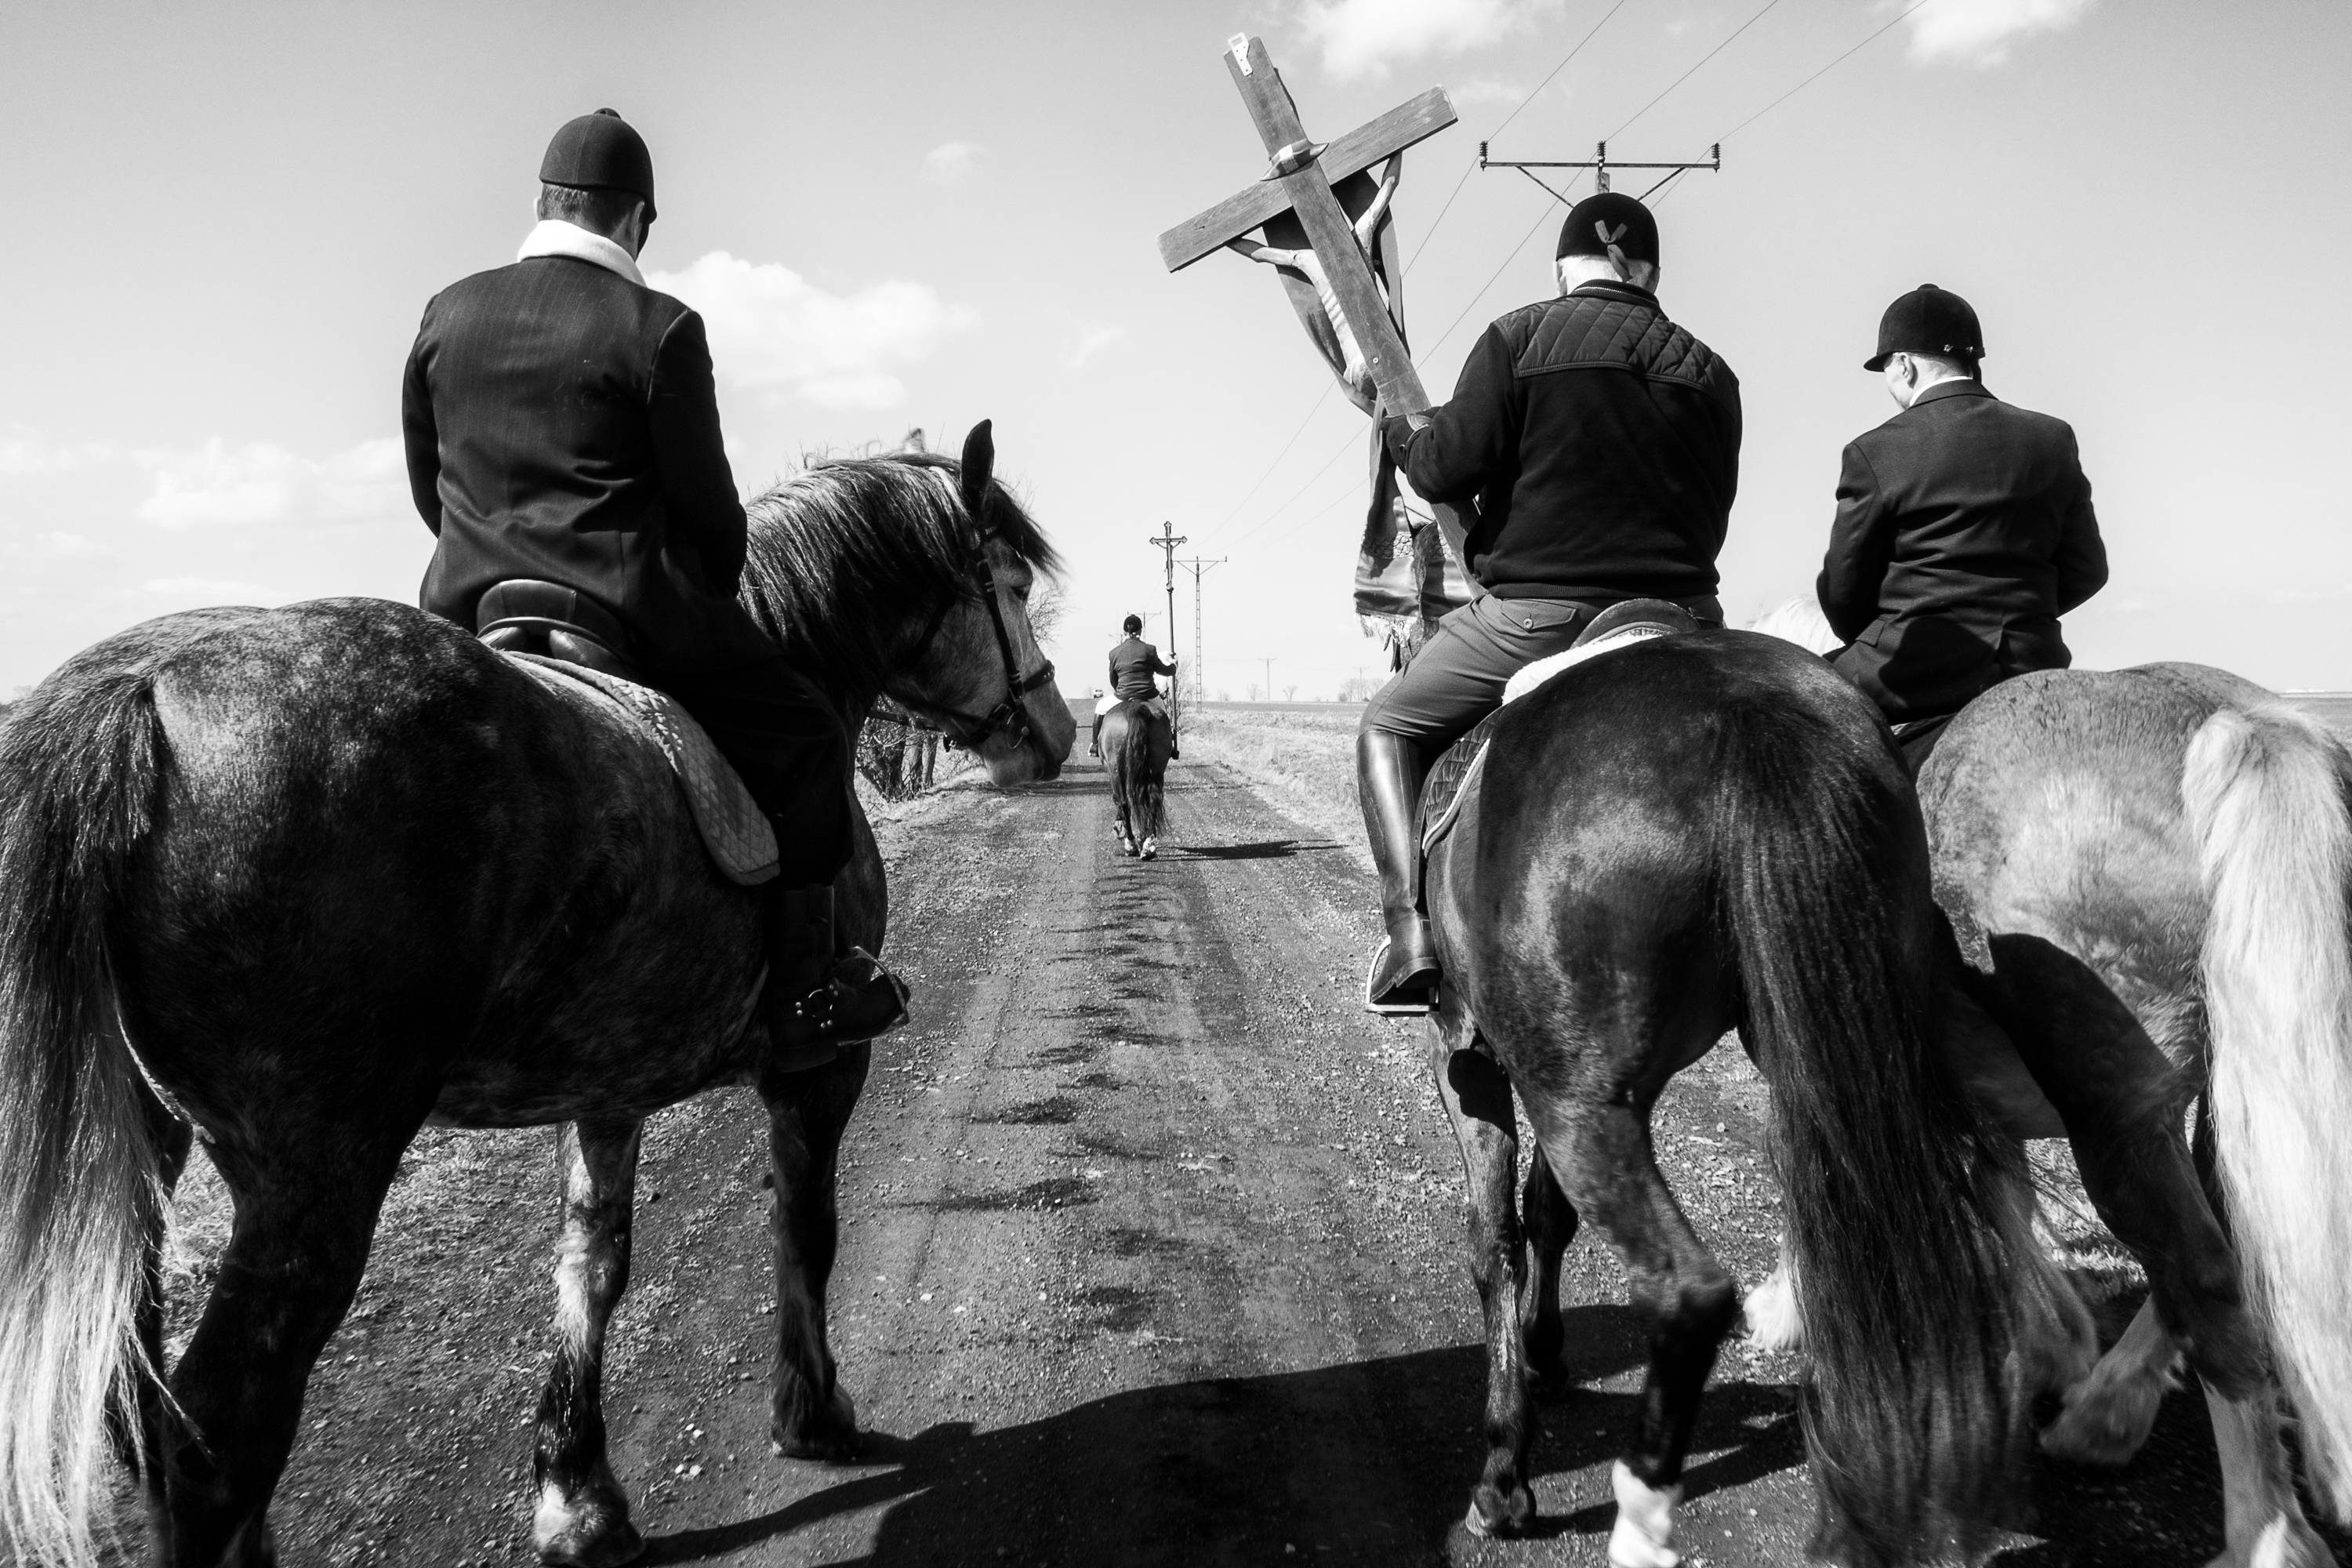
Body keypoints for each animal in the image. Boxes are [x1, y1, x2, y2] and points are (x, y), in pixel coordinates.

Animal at [0, 422, 1074, 1568]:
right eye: (1010, 583)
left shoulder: (609, 1083)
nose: (1054, 729)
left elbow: (591, 1264)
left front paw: (577, 1497)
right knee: (218, 1443)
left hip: (149, 1156)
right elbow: (805, 1222)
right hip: (312, 1174)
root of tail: (141, 686)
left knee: (137, 1404)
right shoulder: (821, 1066)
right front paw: (813, 1414)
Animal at [1098, 698, 1171, 859]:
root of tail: (1136, 708)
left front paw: (1120, 828)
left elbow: (1118, 800)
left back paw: (1131, 844)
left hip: (1116, 770)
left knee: (1124, 802)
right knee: (1152, 800)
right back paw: (1148, 845)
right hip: (1156, 769)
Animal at [1421, 629, 2080, 1567]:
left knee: (1686, 1291)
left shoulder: (1473, 1056)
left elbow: (1496, 1238)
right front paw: (1546, 1356)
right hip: (1830, 1041)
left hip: (1579, 1101)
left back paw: (1643, 1520)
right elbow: (1548, 1214)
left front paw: (1506, 1472)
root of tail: (1752, 711)